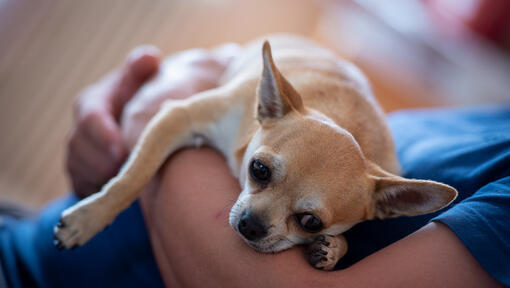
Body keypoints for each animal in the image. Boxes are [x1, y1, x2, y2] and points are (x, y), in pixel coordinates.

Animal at [53, 35, 456, 270]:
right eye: (258, 169)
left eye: (311, 222)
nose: (251, 225)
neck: (345, 120)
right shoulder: (179, 115)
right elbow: (133, 178)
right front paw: (88, 219)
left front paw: (334, 248)